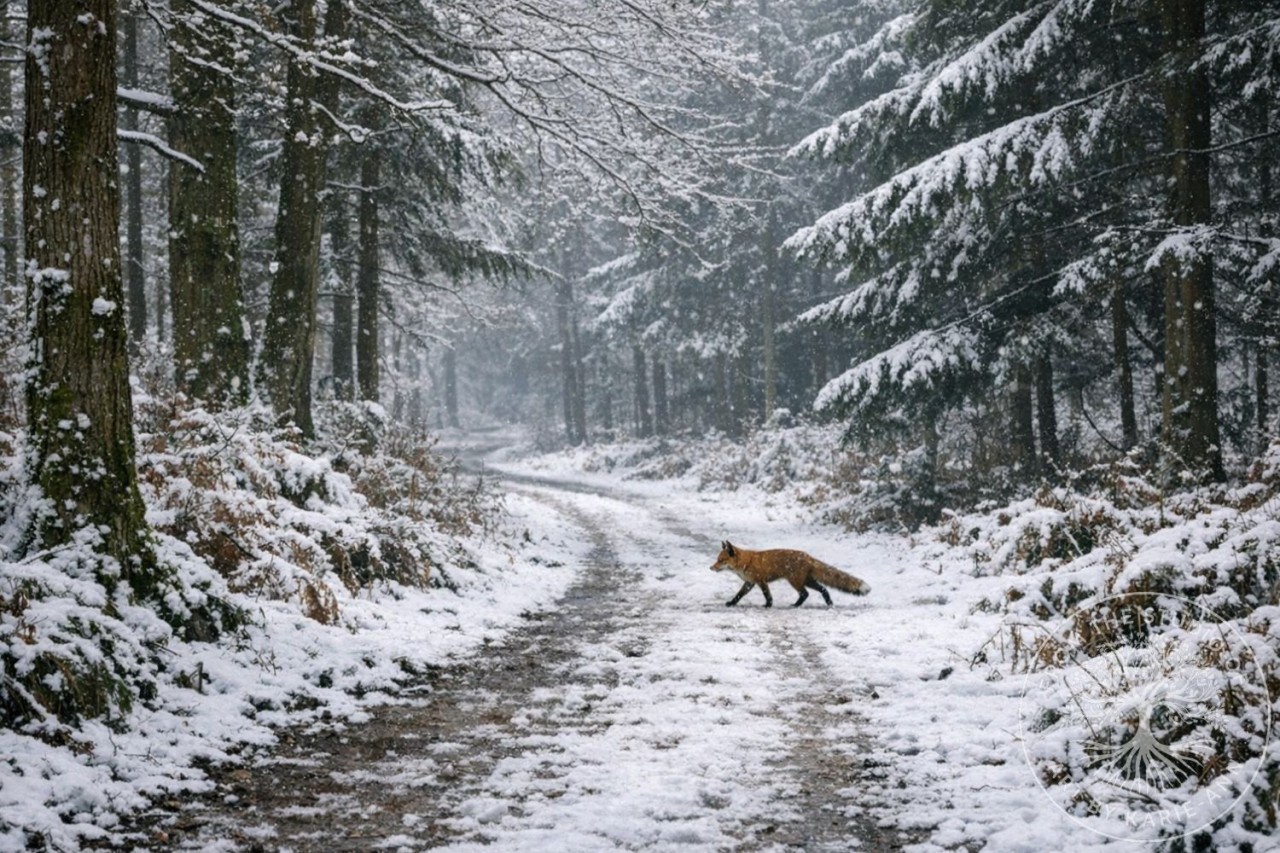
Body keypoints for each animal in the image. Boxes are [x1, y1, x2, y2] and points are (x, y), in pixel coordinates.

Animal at [710, 541, 870, 608]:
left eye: (721, 560)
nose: (711, 568)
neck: (745, 562)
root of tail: (808, 556)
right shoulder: (750, 583)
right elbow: (739, 595)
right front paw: (732, 603)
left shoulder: (761, 581)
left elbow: (767, 595)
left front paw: (768, 605)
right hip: (807, 581)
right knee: (823, 589)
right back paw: (829, 603)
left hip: (795, 582)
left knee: (805, 593)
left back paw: (796, 605)